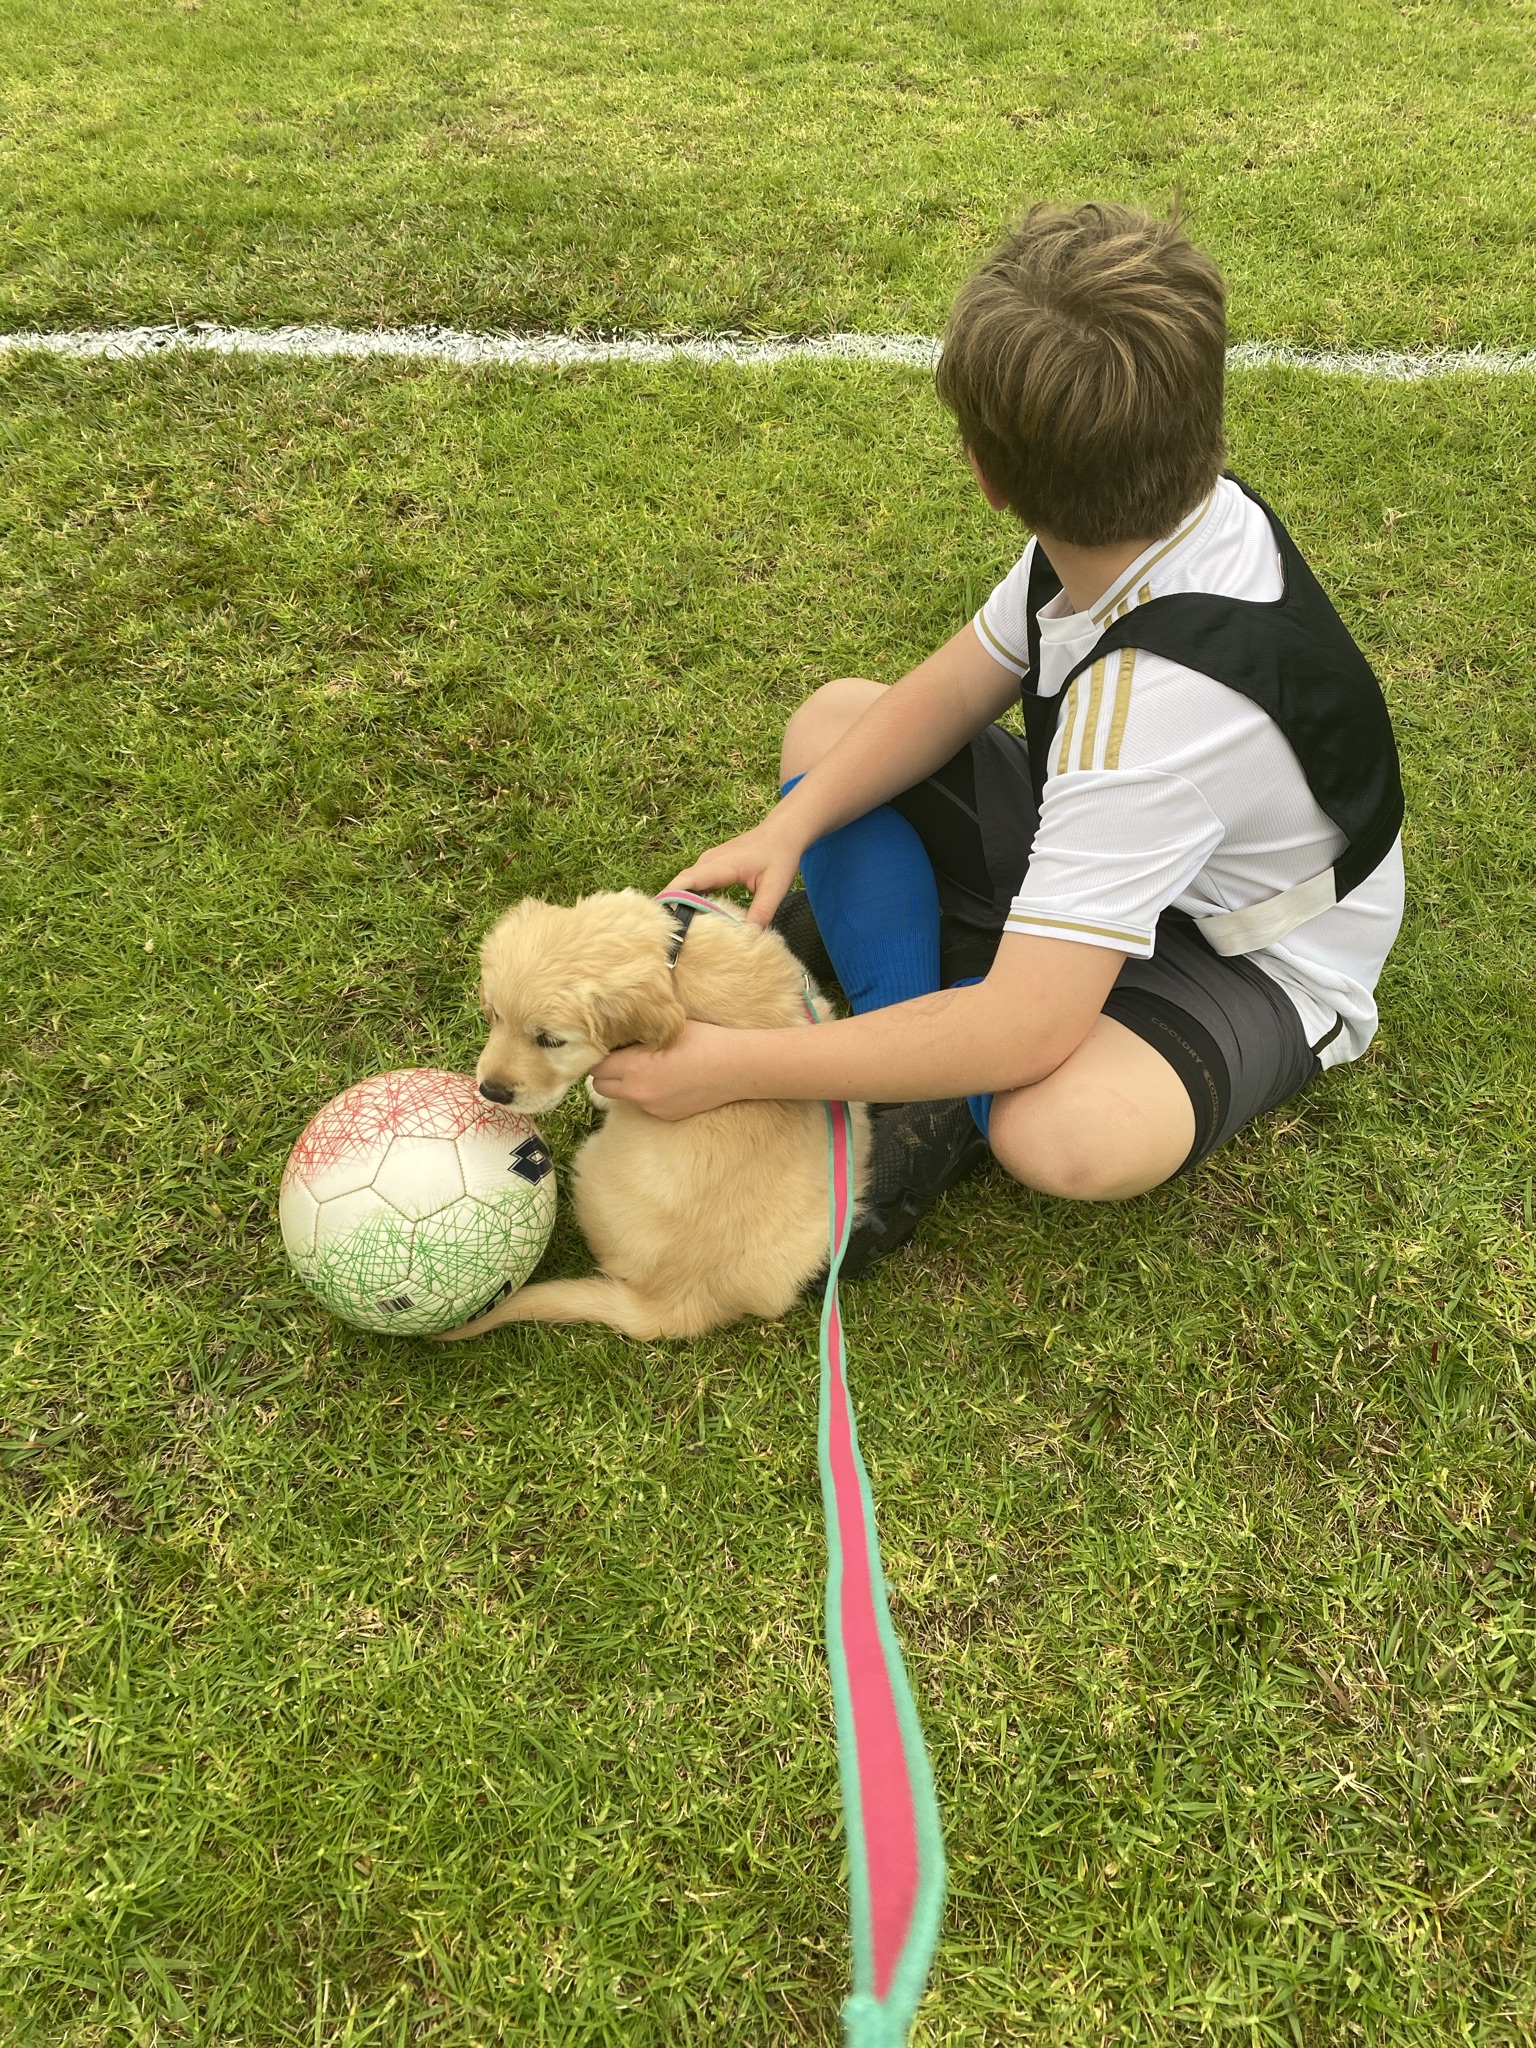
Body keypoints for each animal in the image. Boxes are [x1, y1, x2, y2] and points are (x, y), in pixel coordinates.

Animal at [438, 892, 872, 1343]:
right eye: (495, 1015)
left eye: (551, 1041)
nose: (491, 1091)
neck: (674, 961)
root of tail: (675, 1304)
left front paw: (598, 1091)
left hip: (591, 1164)